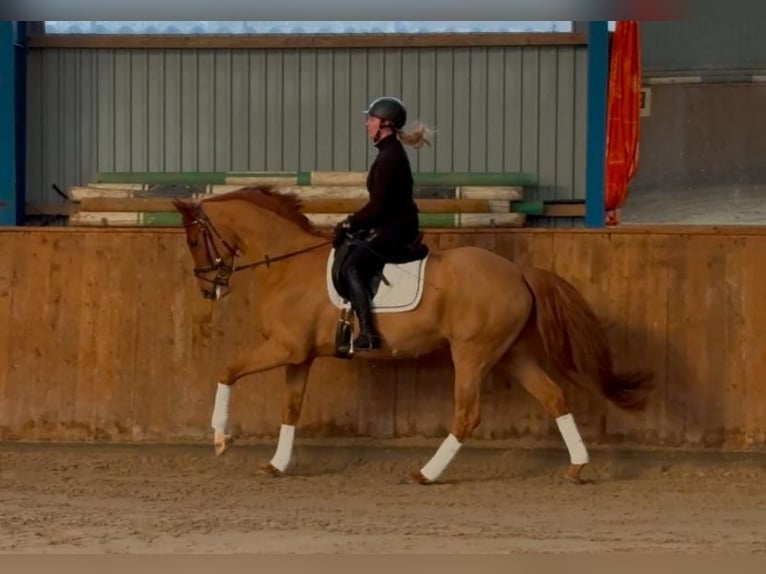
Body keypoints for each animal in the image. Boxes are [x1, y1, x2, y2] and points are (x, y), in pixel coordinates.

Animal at [172, 187, 656, 484]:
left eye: (195, 240)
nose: (208, 288)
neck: (288, 265)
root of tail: (519, 272)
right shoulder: (299, 355)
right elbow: (291, 410)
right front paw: (276, 464)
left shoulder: (283, 348)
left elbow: (227, 370)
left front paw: (220, 440)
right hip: (511, 354)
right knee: (554, 396)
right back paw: (577, 468)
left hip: (472, 355)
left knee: (467, 415)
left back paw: (427, 473)